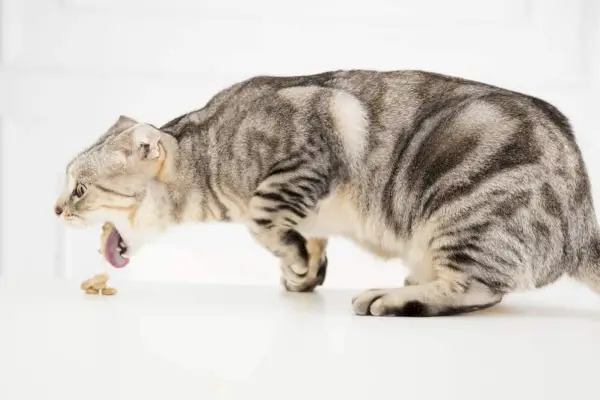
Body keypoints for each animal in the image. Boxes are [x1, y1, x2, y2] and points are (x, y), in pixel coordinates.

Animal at [54, 70, 596, 318]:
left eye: (79, 189)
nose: (55, 208)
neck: (208, 153)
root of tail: (581, 225)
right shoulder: (308, 205)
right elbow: (304, 237)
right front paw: (303, 271)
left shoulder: (304, 155)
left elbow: (263, 218)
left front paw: (294, 259)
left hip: (465, 209)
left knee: (480, 289)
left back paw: (389, 298)